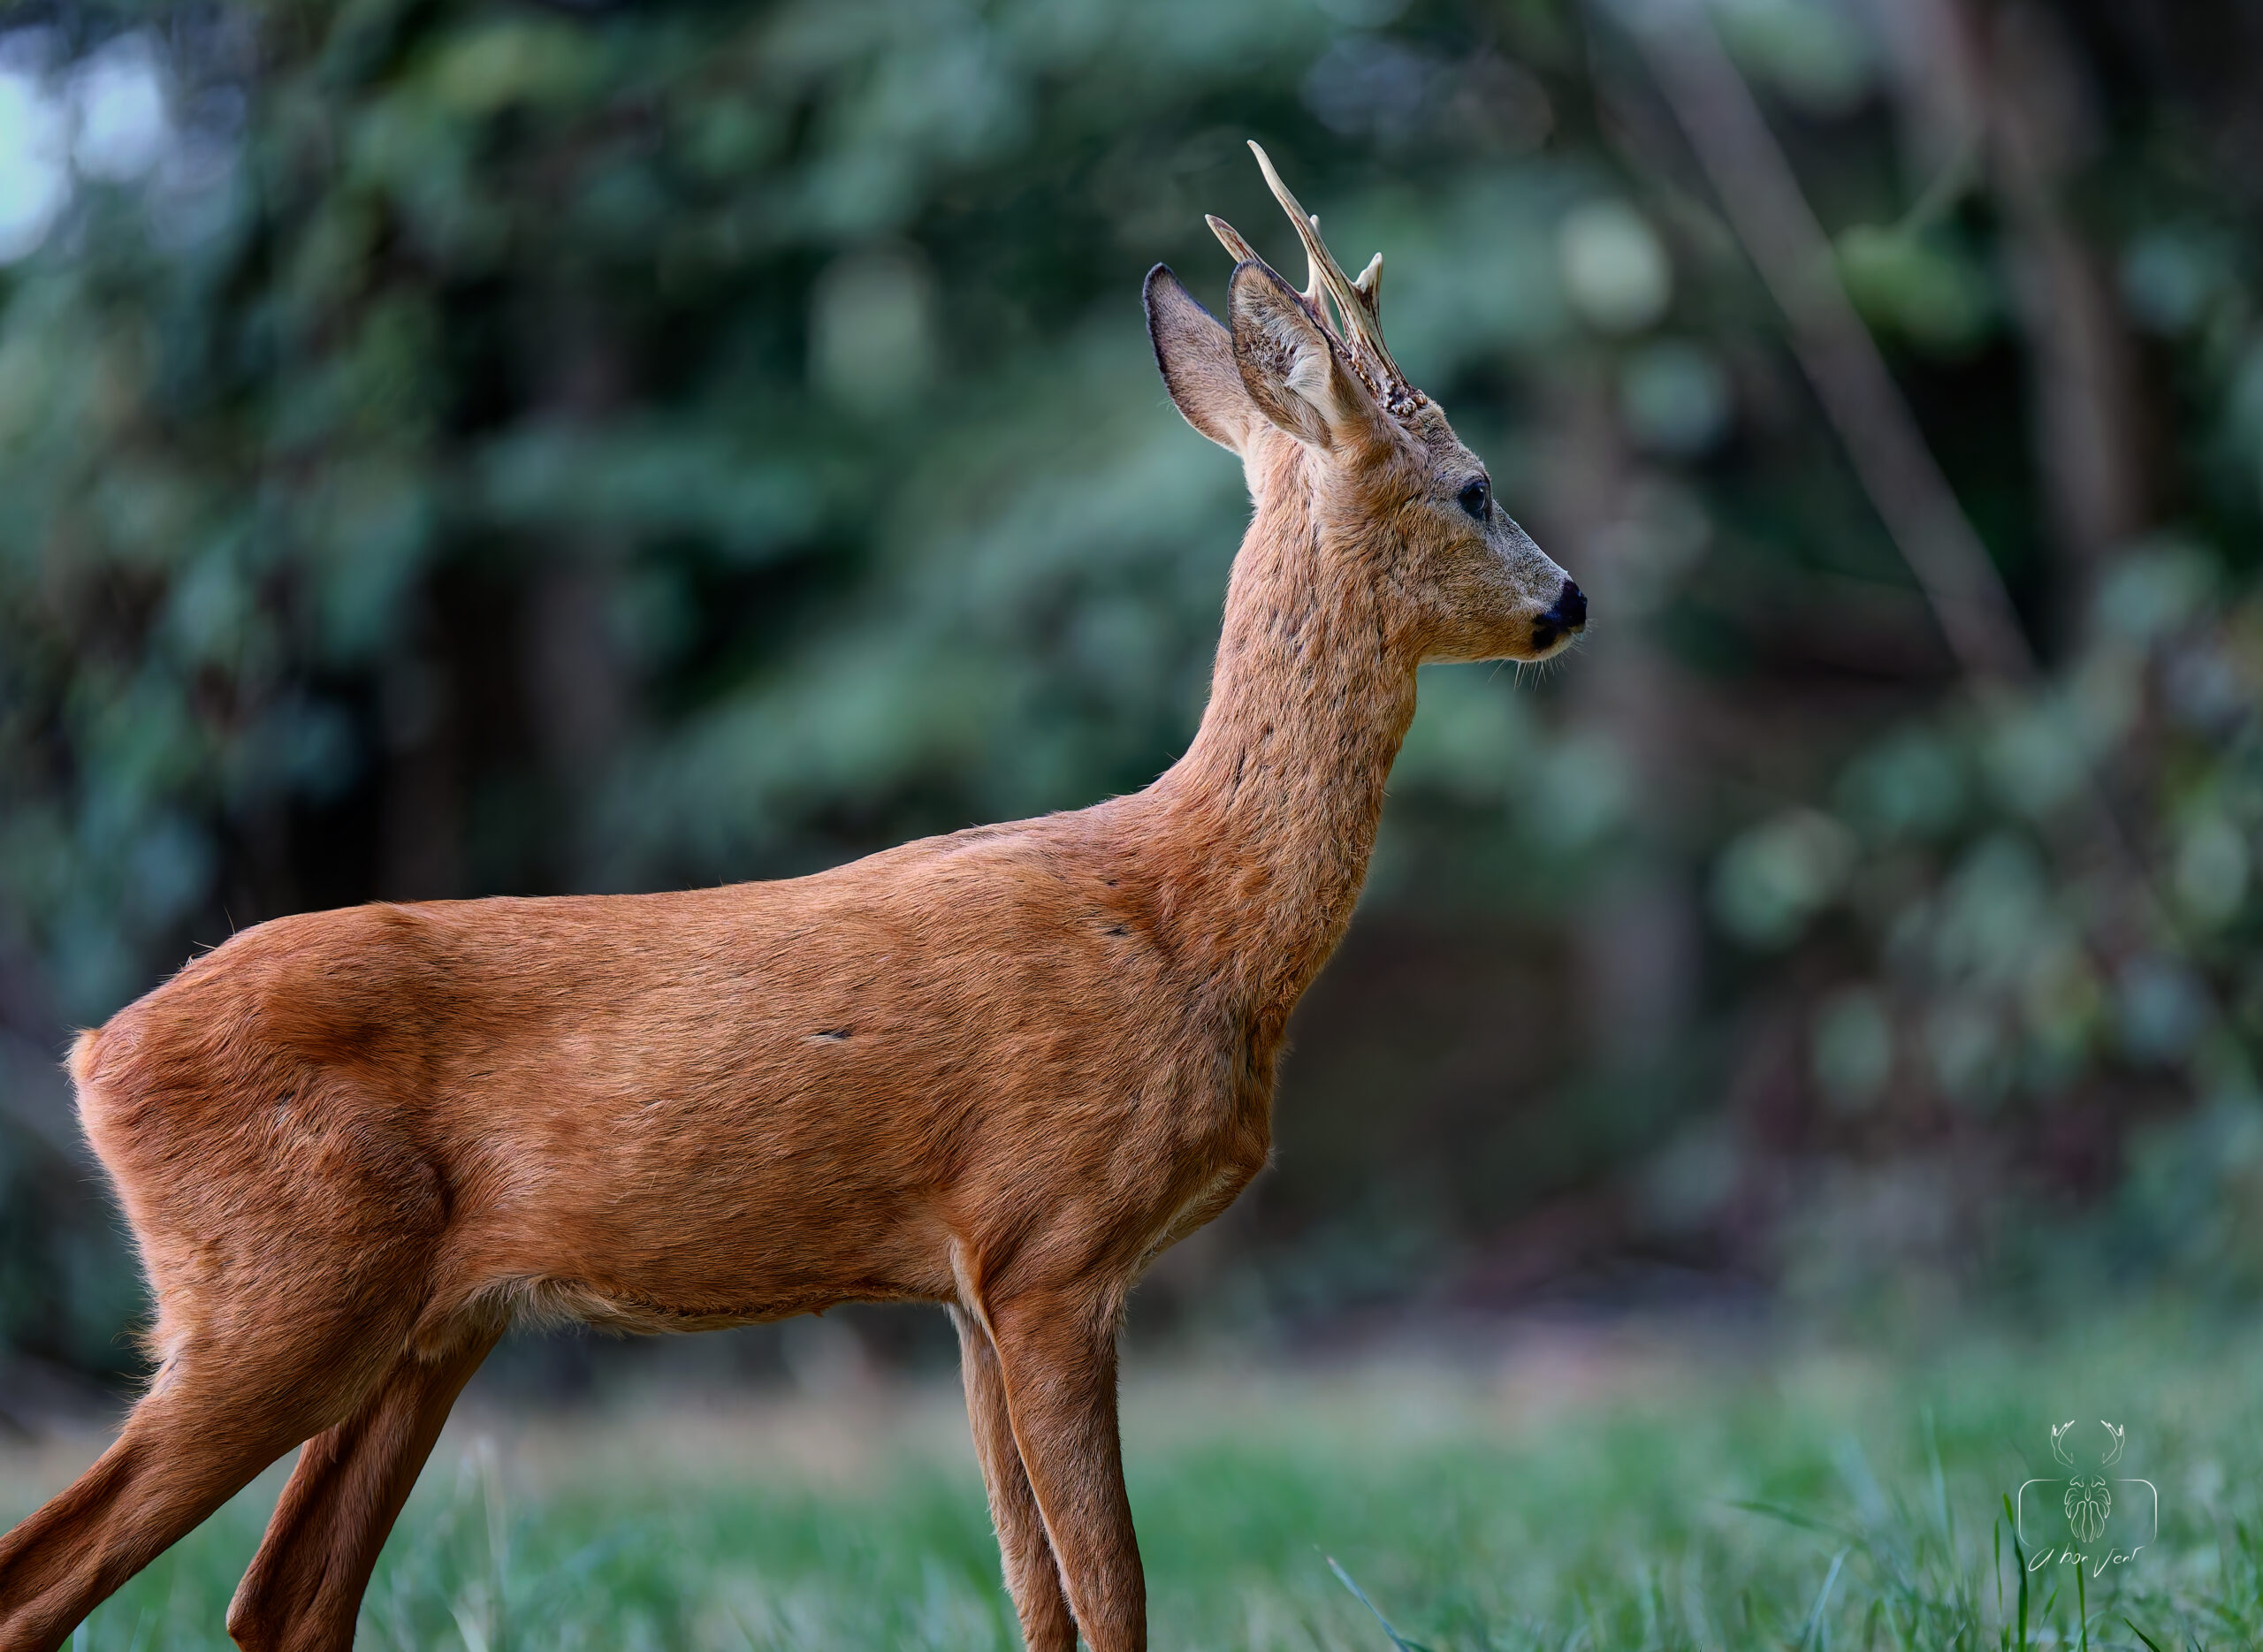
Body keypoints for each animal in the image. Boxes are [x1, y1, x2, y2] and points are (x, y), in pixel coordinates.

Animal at [0, 143, 1583, 1652]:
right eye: (1476, 486)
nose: (1569, 599)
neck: (1200, 919)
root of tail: (94, 1053)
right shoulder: (1052, 1245)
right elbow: (1115, 1596)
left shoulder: (968, 1287)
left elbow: (1041, 1600)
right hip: (278, 1287)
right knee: (55, 1574)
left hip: (427, 1322)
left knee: (285, 1597)